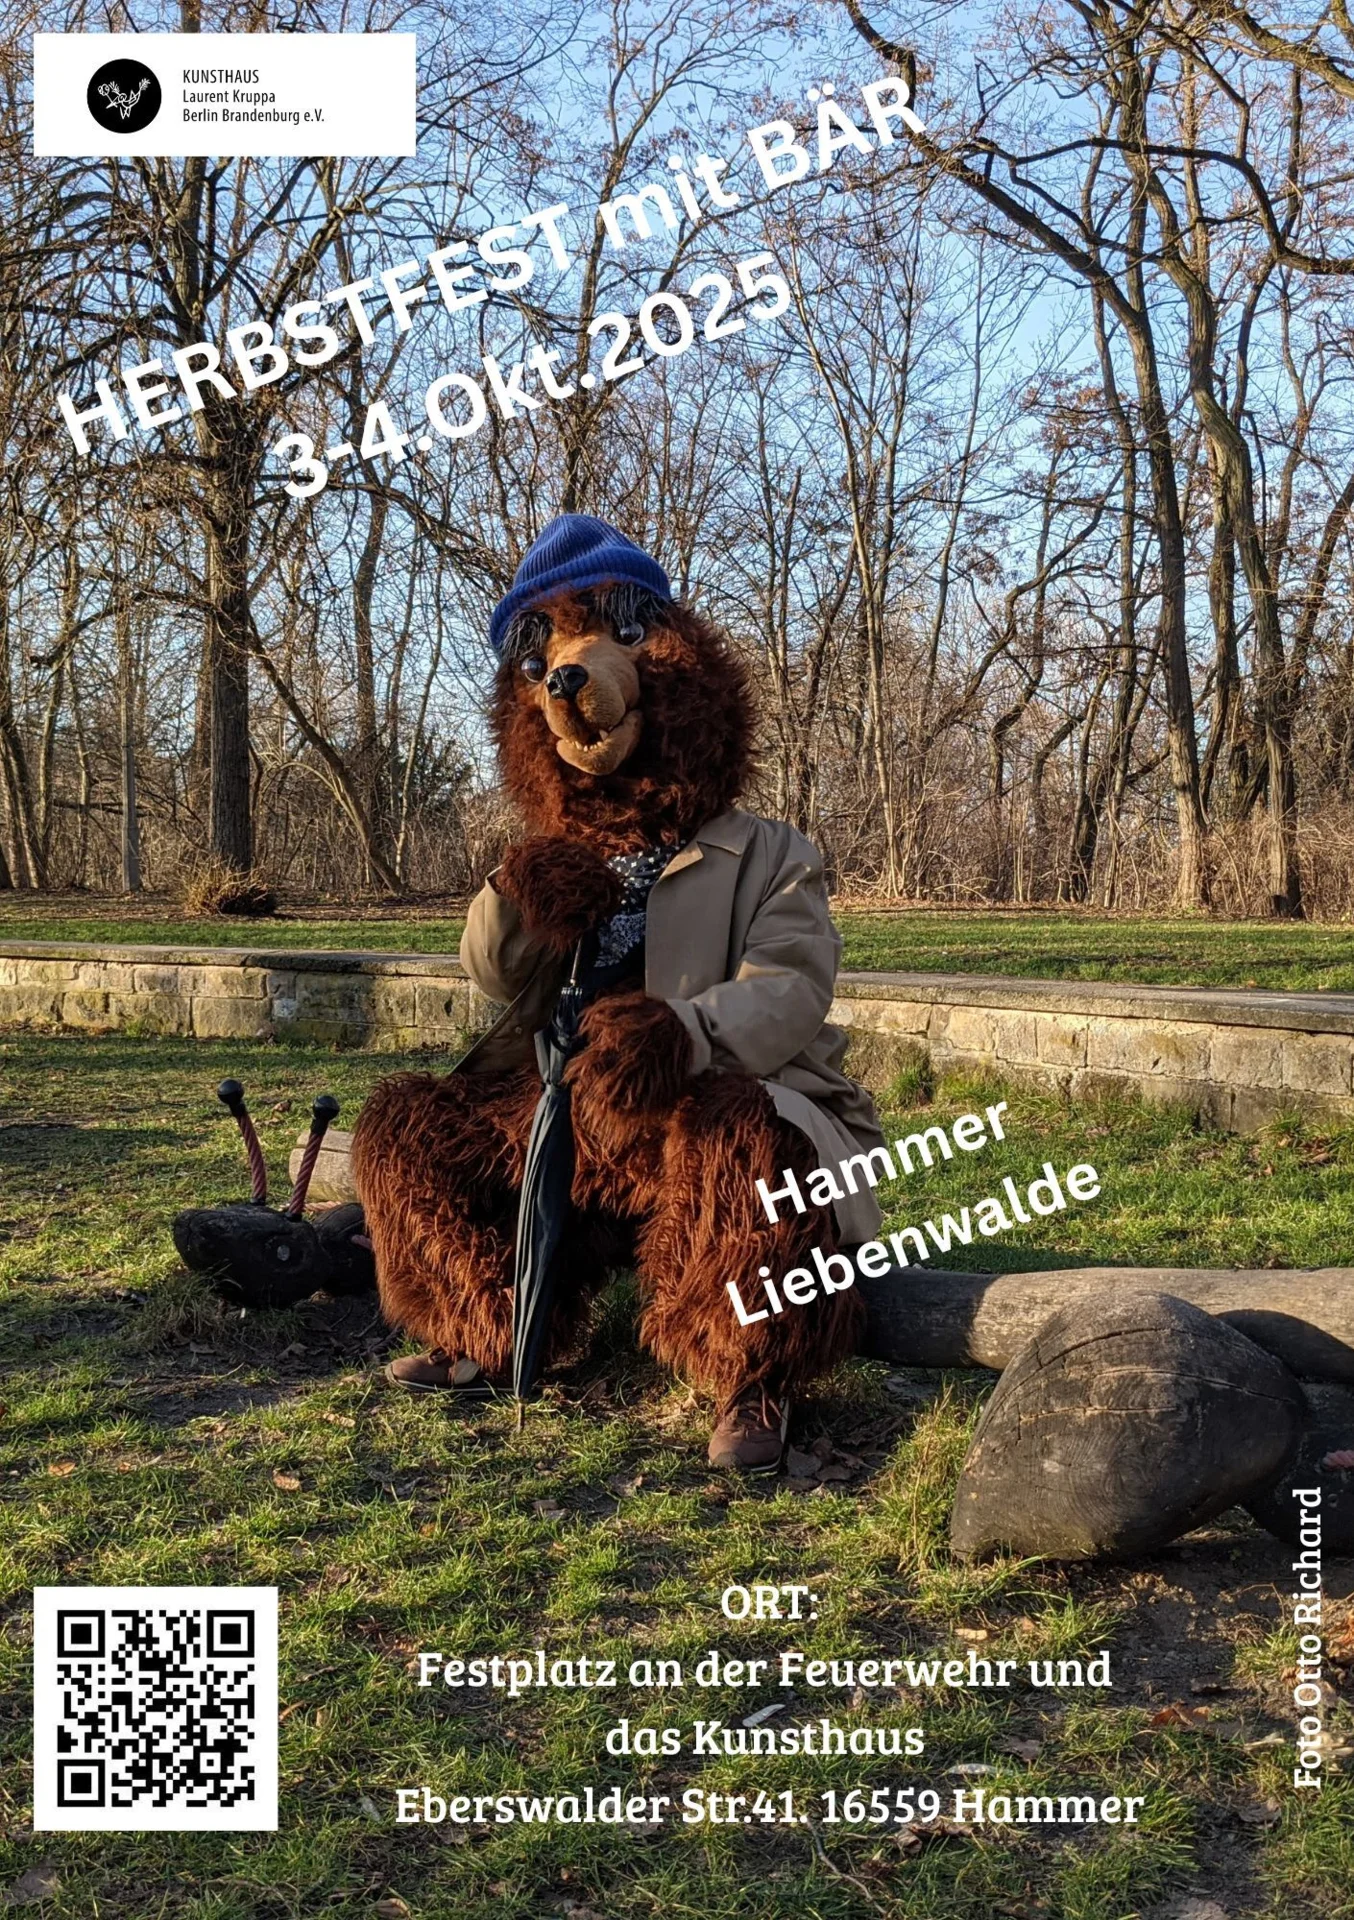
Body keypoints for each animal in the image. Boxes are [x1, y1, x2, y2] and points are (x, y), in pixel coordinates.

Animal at [352, 513, 888, 1472]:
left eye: (631, 632)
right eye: (534, 661)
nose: (565, 678)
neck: (641, 836)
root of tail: (610, 1195)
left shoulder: (791, 870)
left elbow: (782, 974)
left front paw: (632, 1042)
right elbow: (498, 964)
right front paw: (548, 879)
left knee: (747, 1161)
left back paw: (748, 1404)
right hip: (511, 1140)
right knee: (411, 1144)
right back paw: (475, 1346)